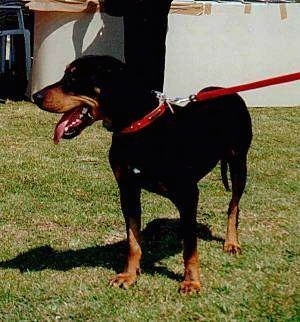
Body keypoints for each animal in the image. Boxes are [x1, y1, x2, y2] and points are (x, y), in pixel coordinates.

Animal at [33, 55, 253, 294]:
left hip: (239, 164)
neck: (138, 128)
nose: (35, 97)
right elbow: (133, 240)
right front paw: (129, 275)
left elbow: (190, 246)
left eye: (74, 77)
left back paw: (232, 243)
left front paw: (191, 281)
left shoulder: (188, 194)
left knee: (233, 206)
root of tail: (229, 92)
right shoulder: (128, 190)